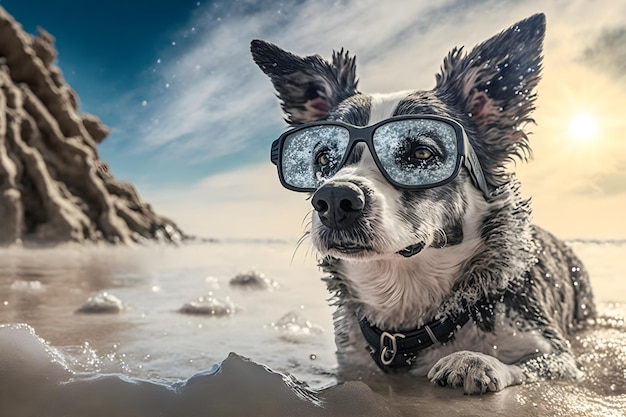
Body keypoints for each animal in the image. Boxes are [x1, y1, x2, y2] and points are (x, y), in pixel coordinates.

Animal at [249, 13, 588, 394]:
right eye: (323, 157)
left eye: (422, 153)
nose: (334, 199)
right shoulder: (353, 362)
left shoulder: (553, 351)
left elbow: (534, 365)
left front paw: (475, 360)